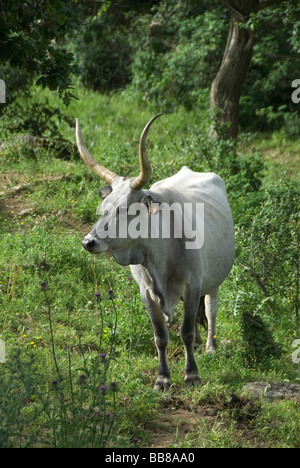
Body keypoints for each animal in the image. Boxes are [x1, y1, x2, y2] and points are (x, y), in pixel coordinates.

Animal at [76, 114, 236, 392]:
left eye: (124, 209)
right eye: (104, 206)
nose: (89, 242)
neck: (161, 254)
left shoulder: (193, 285)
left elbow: (186, 331)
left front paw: (191, 375)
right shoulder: (146, 293)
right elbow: (160, 336)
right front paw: (163, 378)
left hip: (213, 282)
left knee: (210, 309)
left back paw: (210, 346)